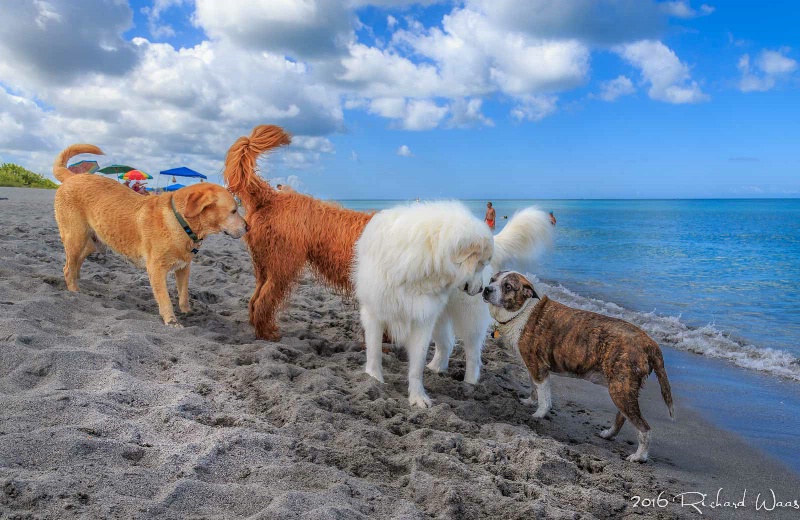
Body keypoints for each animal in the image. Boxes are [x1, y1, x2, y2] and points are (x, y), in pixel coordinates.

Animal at [354, 201, 552, 408]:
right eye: (479, 263)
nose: (482, 289)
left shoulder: (422, 320)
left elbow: (416, 365)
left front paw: (418, 397)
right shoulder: (374, 312)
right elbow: (374, 350)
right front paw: (374, 379)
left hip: (467, 318)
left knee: (473, 353)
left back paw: (469, 382)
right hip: (440, 318)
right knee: (447, 344)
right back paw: (436, 367)